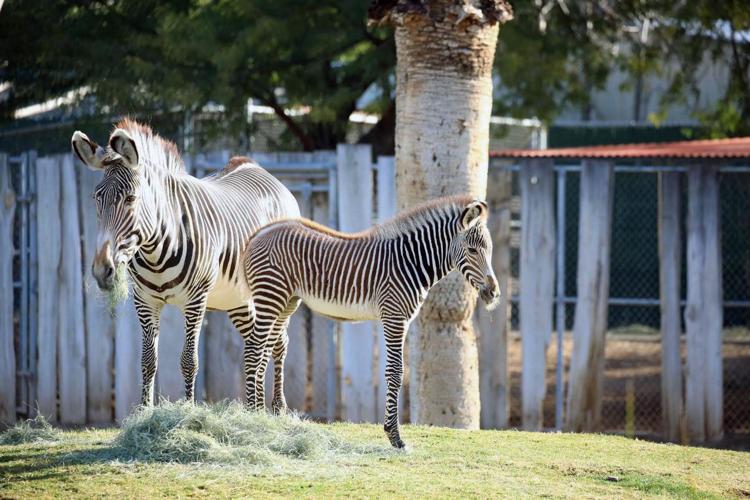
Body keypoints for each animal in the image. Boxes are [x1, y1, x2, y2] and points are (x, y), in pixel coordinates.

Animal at [71, 119, 300, 408]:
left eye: (131, 199)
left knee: (278, 342)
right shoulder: (145, 301)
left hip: (281, 294)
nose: (102, 270)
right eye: (96, 198)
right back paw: (255, 408)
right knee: (257, 346)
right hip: (238, 300)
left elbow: (189, 361)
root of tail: (265, 174)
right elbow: (148, 361)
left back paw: (277, 407)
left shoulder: (196, 301)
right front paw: (144, 411)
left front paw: (188, 409)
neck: (156, 252)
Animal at [242, 196, 500, 448]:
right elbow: (395, 372)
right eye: (472, 250)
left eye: (489, 250)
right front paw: (394, 436)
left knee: (267, 349)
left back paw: (260, 416)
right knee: (253, 349)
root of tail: (259, 234)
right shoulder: (394, 318)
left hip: (286, 302)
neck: (411, 263)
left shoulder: (402, 320)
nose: (494, 293)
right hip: (271, 296)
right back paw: (251, 416)